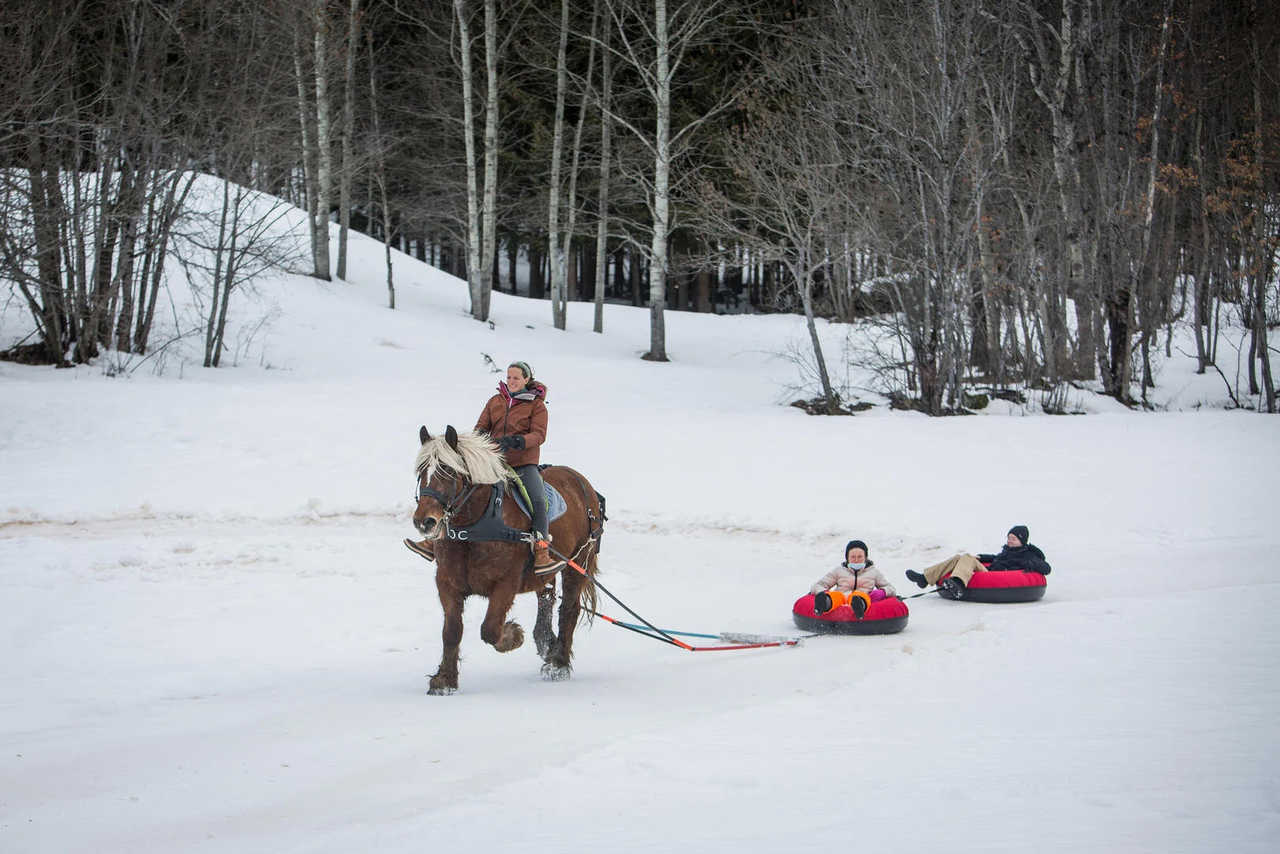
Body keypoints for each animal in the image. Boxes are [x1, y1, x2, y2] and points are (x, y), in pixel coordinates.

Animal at [412, 425, 606, 696]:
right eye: (422, 471)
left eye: (448, 471)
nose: (424, 521)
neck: (478, 525)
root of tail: (582, 483)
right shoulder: (447, 582)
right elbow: (451, 631)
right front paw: (444, 681)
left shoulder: (506, 584)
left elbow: (490, 629)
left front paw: (514, 636)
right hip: (546, 571)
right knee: (546, 599)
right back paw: (547, 643)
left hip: (579, 562)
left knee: (569, 609)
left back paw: (558, 663)